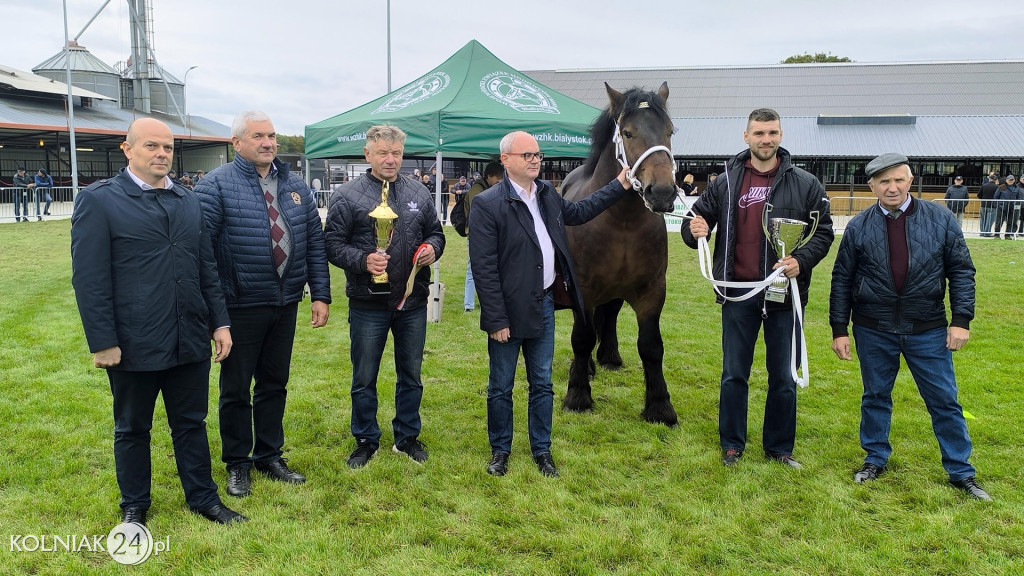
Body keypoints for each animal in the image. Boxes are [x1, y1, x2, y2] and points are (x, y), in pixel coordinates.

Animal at [561, 80, 679, 424]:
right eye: (627, 132)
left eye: (669, 131)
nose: (662, 192)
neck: (622, 222)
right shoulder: (583, 290)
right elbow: (581, 337)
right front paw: (578, 396)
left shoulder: (653, 290)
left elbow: (651, 345)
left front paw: (659, 406)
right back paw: (586, 366)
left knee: (610, 313)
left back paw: (609, 357)